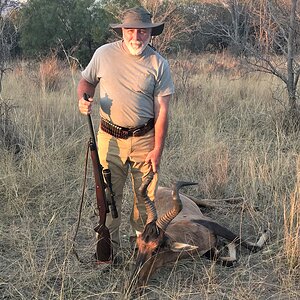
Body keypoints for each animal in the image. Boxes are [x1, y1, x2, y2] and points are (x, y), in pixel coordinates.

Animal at [131, 173, 268, 288]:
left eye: (156, 249)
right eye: (139, 245)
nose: (134, 282)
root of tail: (159, 189)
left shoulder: (213, 224)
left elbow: (252, 246)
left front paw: (265, 232)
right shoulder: (207, 252)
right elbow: (230, 260)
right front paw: (227, 246)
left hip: (193, 200)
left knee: (211, 203)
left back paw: (250, 205)